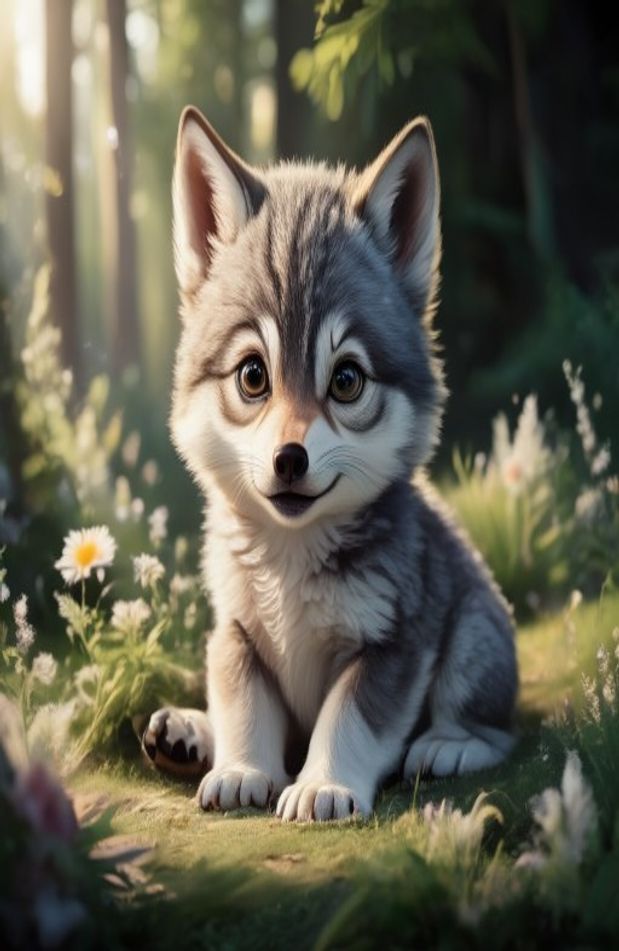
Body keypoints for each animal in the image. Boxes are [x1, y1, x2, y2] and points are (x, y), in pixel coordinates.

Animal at [142, 106, 518, 821]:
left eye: (346, 380)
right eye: (253, 375)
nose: (290, 458)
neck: (290, 559)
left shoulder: (394, 642)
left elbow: (349, 719)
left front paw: (323, 784)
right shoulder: (234, 633)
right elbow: (243, 704)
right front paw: (241, 768)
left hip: (474, 634)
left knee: (496, 727)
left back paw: (449, 745)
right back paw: (186, 731)